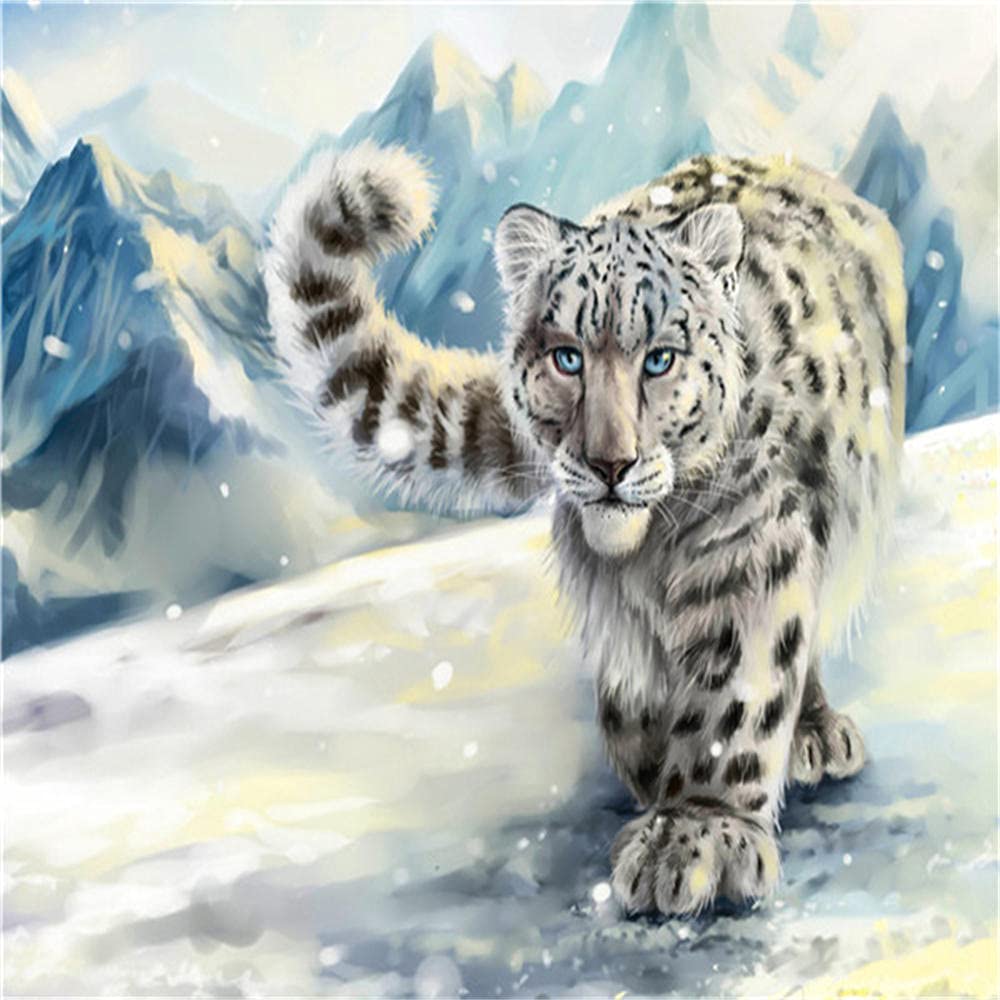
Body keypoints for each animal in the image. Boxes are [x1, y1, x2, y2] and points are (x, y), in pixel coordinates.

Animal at [264, 141, 906, 916]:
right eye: (566, 356)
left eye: (660, 358)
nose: (609, 462)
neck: (649, 550)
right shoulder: (612, 587)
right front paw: (654, 767)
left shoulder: (749, 545)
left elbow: (737, 690)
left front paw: (698, 832)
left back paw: (812, 730)